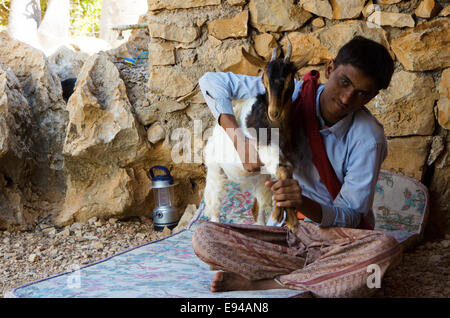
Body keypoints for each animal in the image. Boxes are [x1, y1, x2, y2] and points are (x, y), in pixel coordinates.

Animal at [203, 39, 310, 229]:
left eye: (290, 78)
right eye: (263, 79)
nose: (273, 112)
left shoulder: (286, 158)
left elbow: (286, 176)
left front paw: (283, 215)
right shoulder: (266, 152)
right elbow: (283, 173)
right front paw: (289, 219)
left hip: (260, 178)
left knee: (258, 209)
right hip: (215, 169)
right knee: (213, 203)